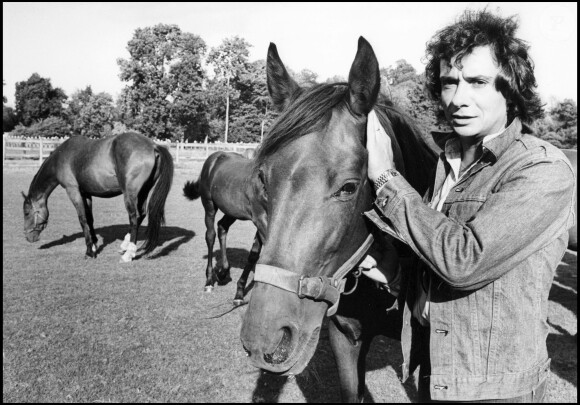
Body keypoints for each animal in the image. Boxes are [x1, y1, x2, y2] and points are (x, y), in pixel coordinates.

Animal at [22, 131, 173, 260]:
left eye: (26, 213)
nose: (28, 237)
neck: (61, 157)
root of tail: (153, 145)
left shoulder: (73, 191)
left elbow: (82, 219)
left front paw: (89, 252)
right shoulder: (86, 194)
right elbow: (90, 219)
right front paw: (94, 245)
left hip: (130, 194)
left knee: (134, 217)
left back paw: (128, 254)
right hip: (143, 192)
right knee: (141, 214)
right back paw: (125, 245)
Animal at [184, 151, 268, 304]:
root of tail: (215, 156)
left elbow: (254, 254)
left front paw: (239, 293)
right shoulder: (260, 219)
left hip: (231, 211)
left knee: (222, 227)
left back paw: (223, 272)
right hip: (209, 206)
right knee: (210, 236)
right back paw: (209, 281)